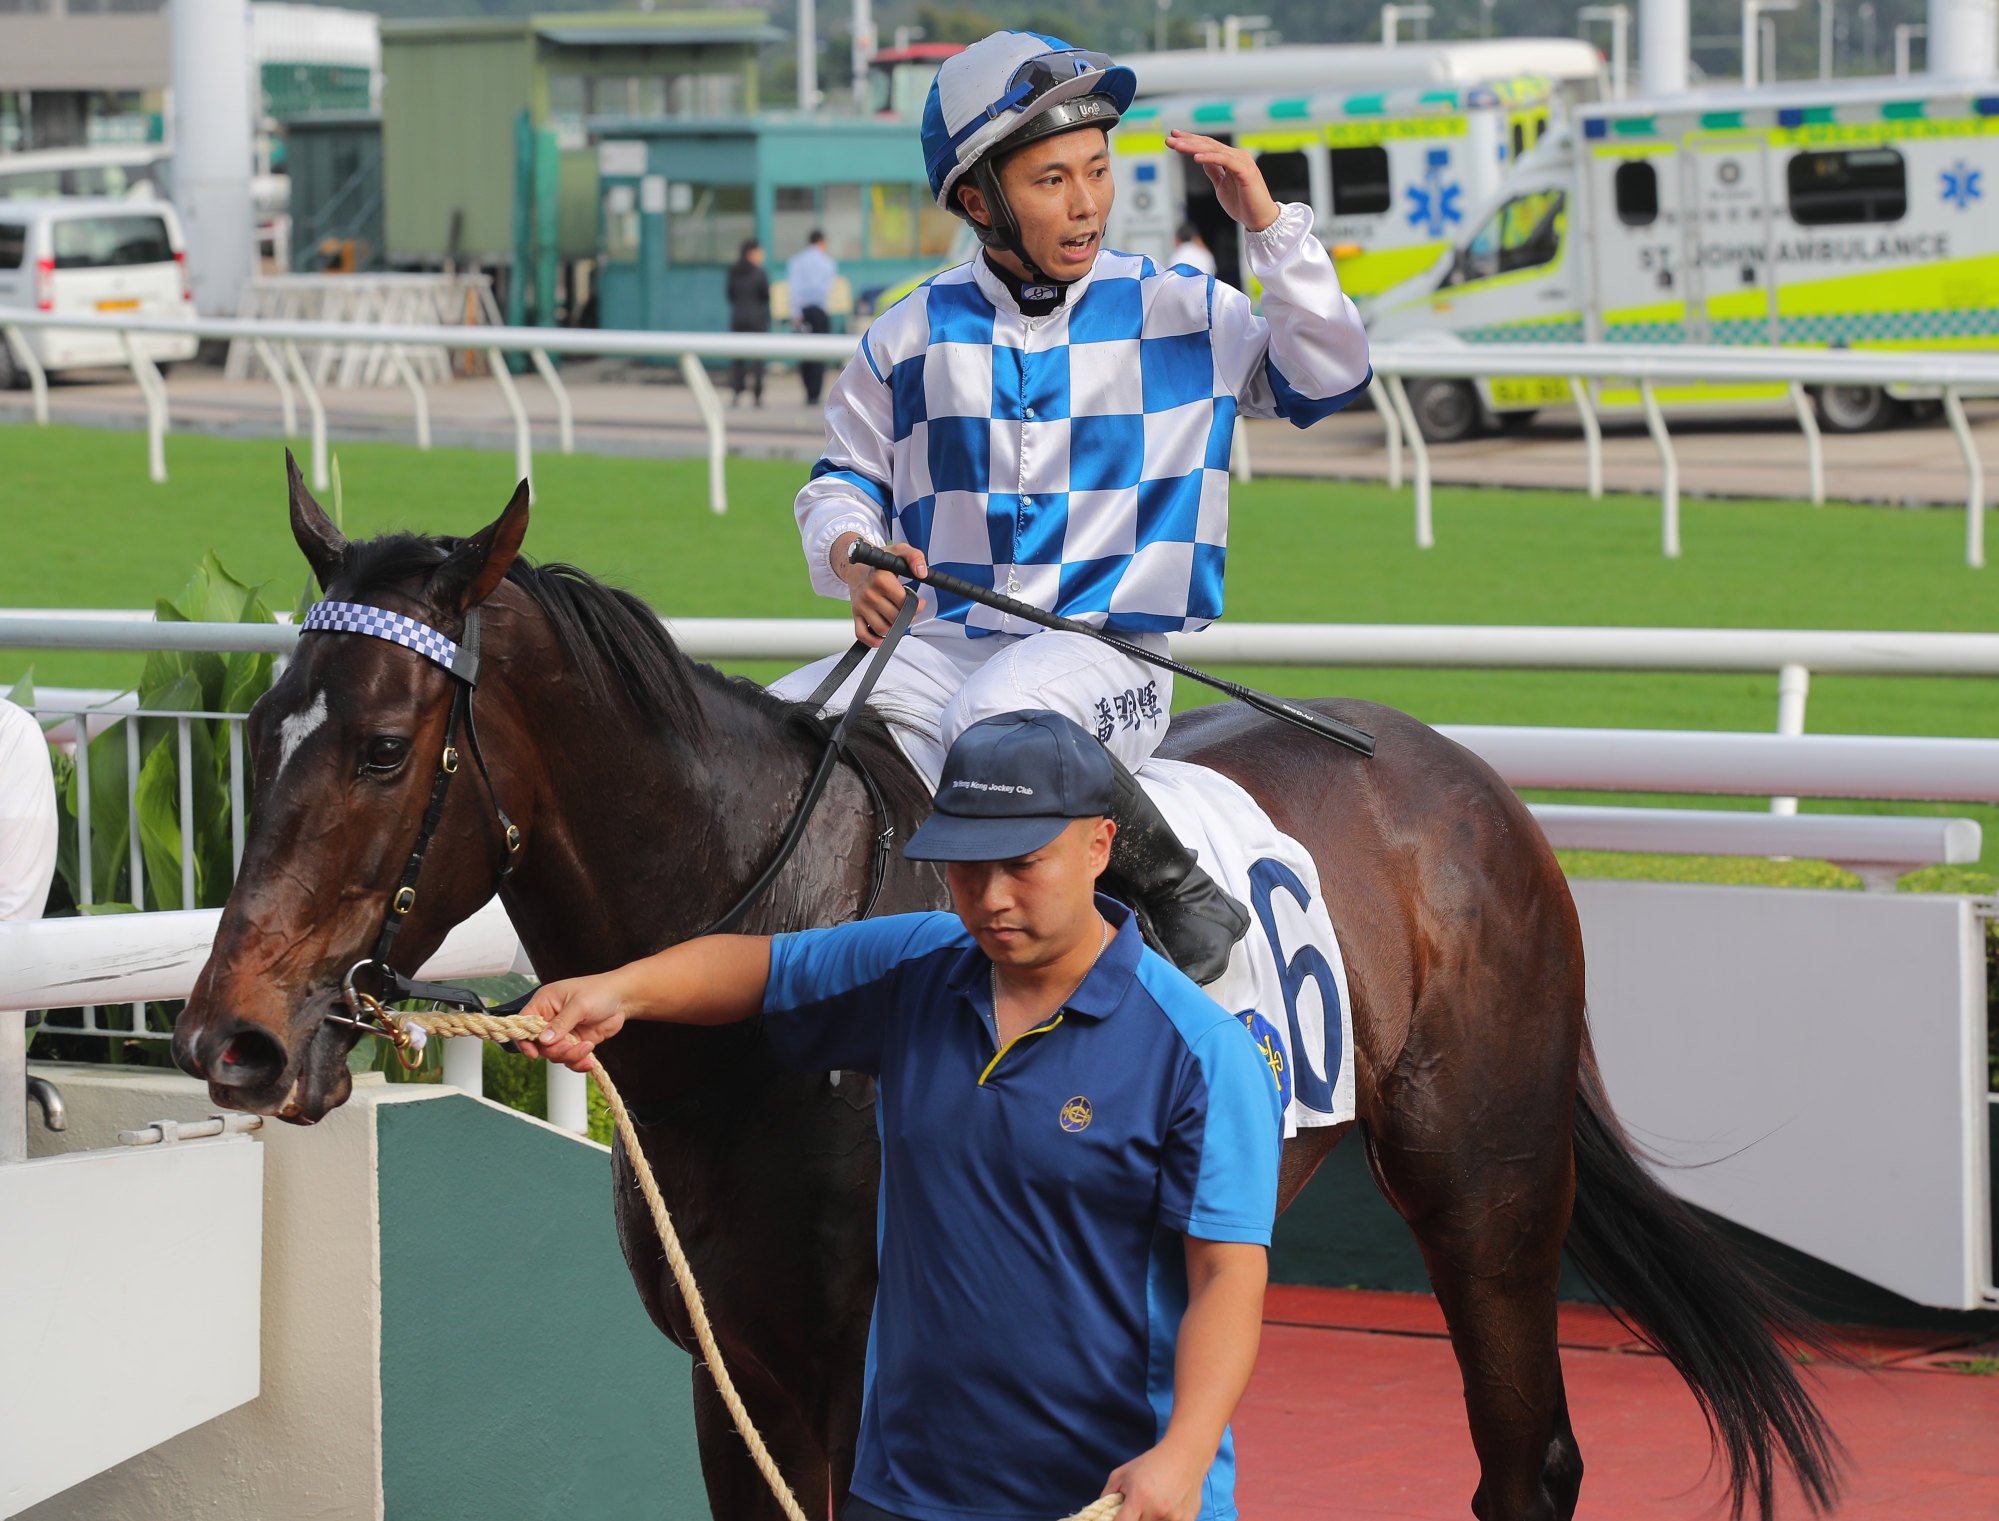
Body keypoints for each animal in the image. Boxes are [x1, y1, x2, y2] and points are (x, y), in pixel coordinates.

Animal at [171, 465, 1839, 1519]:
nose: (229, 1038)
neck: (776, 988)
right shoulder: (735, 1369)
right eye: (256, 727)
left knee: (1525, 1463)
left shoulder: (872, 1372)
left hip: (1483, 1185)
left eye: (384, 747)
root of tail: (1466, 780)